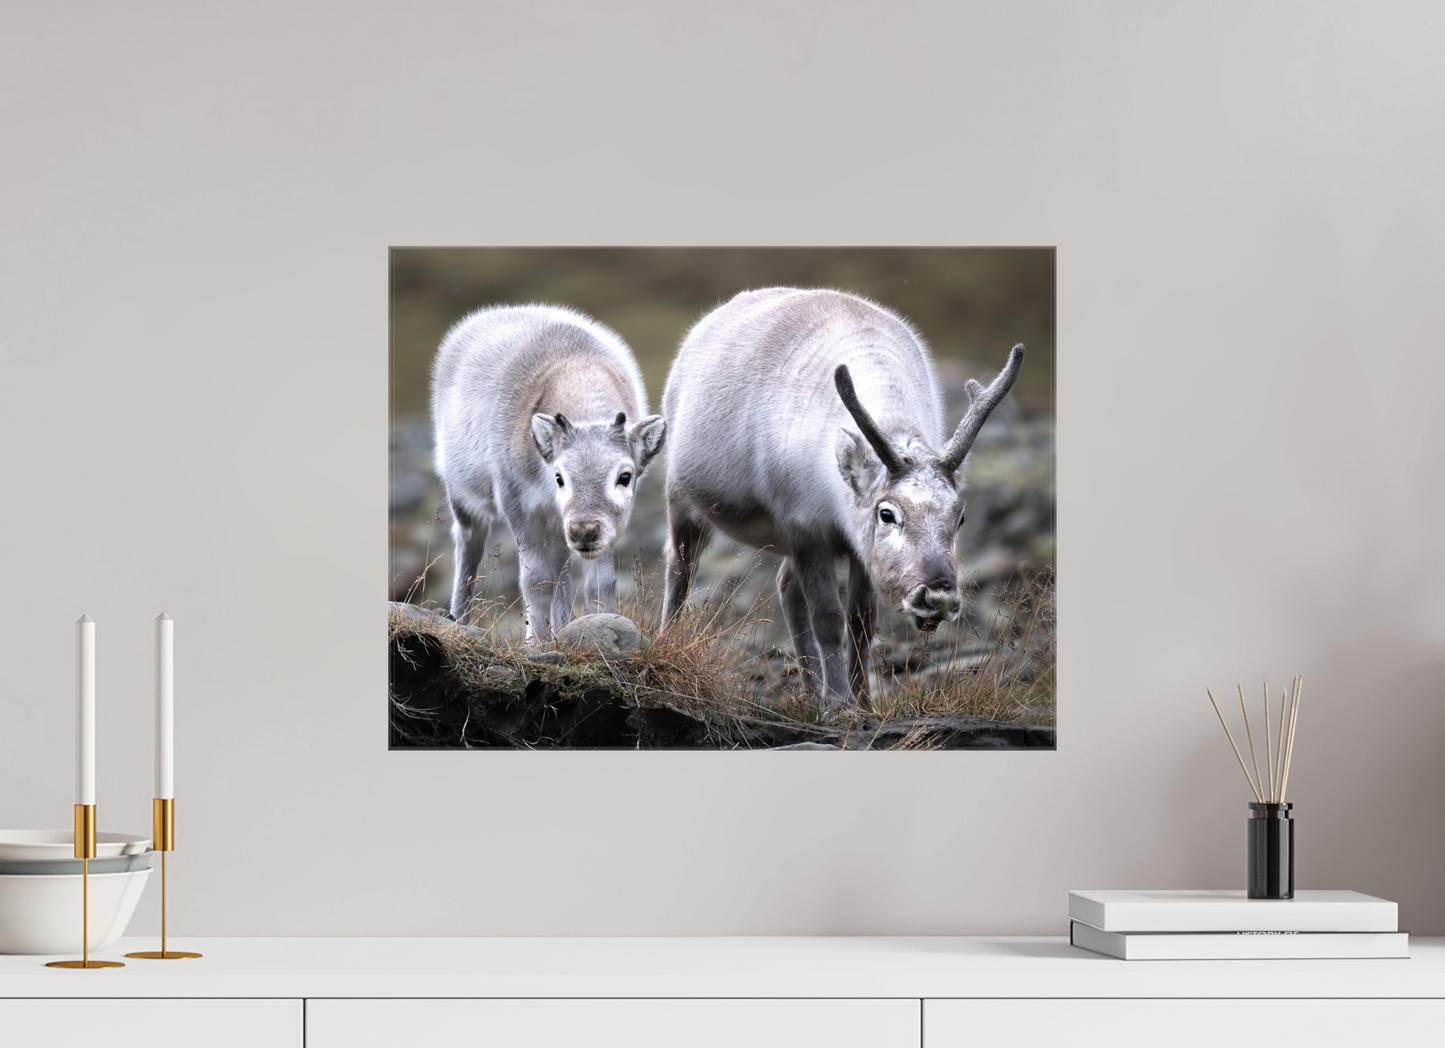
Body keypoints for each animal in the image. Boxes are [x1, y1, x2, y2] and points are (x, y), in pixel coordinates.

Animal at [431, 304, 666, 639]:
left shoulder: (602, 527)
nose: (583, 531)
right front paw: (536, 643)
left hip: (557, 528)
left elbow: (599, 585)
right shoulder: (519, 507)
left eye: (625, 477)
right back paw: (459, 618)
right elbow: (536, 582)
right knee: (468, 546)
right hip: (463, 498)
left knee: (562, 570)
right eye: (559, 477)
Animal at [659, 288, 1022, 706]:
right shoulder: (805, 527)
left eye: (960, 516)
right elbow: (828, 619)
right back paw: (668, 639)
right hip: (682, 498)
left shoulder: (856, 544)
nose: (939, 596)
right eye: (887, 513)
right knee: (680, 567)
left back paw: (812, 691)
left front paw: (862, 702)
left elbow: (862, 621)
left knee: (786, 586)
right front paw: (838, 703)